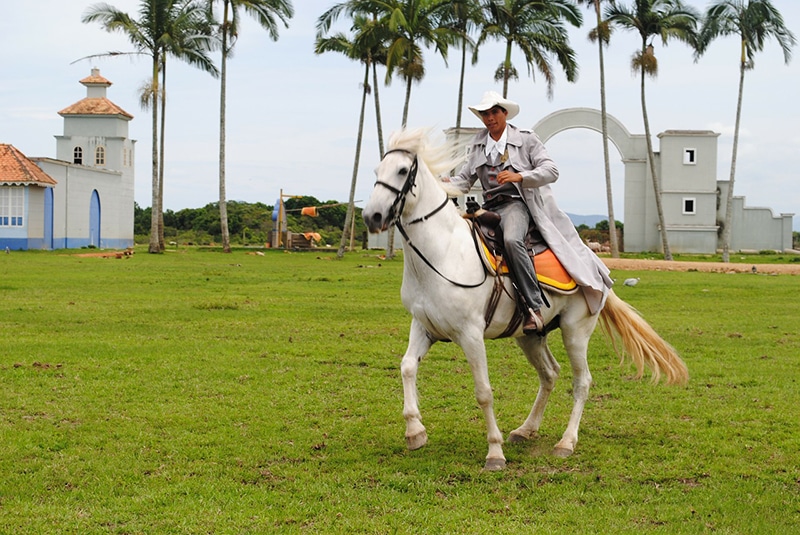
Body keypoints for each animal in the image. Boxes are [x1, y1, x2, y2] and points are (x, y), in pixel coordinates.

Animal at [362, 127, 688, 472]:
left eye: (401, 171)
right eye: (377, 171)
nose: (373, 216)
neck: (443, 254)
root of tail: (594, 265)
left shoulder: (470, 334)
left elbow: (483, 392)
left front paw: (494, 452)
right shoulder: (424, 326)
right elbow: (407, 367)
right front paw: (415, 431)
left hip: (575, 332)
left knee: (582, 381)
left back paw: (565, 443)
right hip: (530, 335)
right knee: (550, 374)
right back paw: (526, 429)